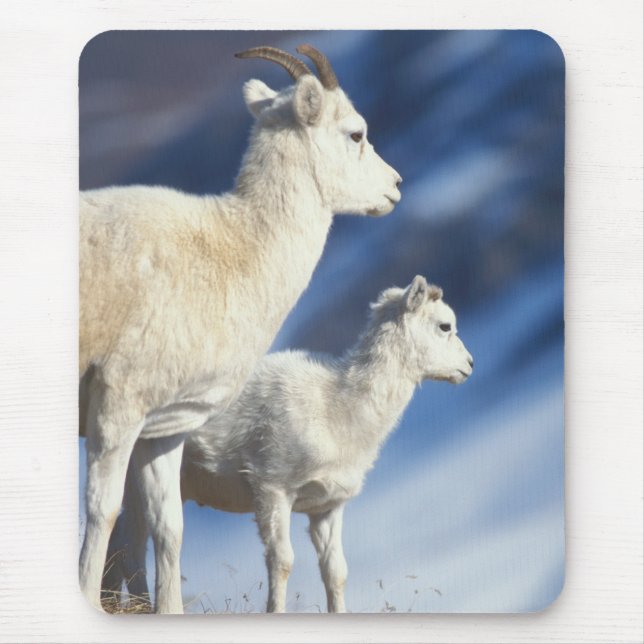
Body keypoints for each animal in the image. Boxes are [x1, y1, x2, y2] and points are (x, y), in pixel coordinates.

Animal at [79, 43, 402, 614]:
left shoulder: (163, 428)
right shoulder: (118, 405)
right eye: (356, 133)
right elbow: (102, 510)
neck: (233, 250)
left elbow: (168, 527)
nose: (396, 186)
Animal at [105, 276, 473, 613]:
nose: (469, 365)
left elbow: (335, 572)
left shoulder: (327, 508)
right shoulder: (273, 490)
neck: (337, 407)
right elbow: (282, 561)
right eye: (445, 326)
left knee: (122, 540)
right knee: (131, 544)